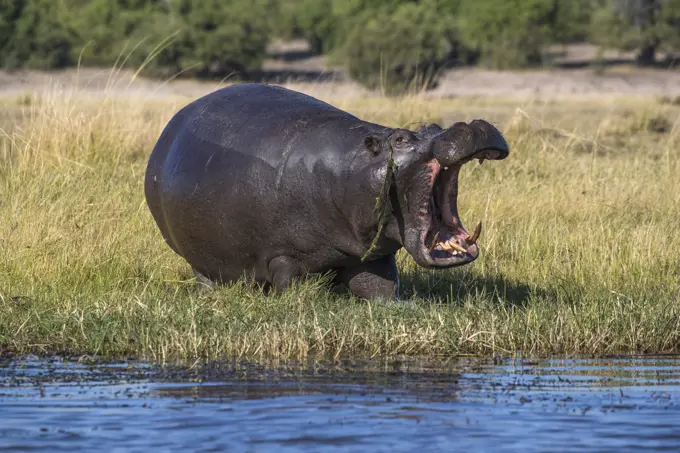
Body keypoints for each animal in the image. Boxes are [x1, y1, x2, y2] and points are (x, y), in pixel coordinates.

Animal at [145, 83, 510, 298]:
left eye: (432, 126)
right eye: (401, 138)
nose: (468, 124)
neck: (352, 168)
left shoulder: (372, 256)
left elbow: (380, 287)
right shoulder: (282, 256)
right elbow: (291, 285)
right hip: (198, 257)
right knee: (207, 276)